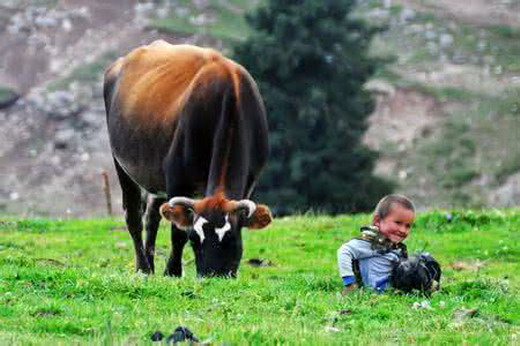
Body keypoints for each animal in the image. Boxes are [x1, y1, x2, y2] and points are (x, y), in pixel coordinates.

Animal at [102, 41, 272, 278]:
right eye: (195, 239)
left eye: (231, 238)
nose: (212, 275)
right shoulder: (177, 178)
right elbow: (177, 232)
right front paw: (172, 271)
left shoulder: (250, 180)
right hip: (121, 163)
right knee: (134, 216)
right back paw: (143, 268)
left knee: (152, 217)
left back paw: (150, 265)